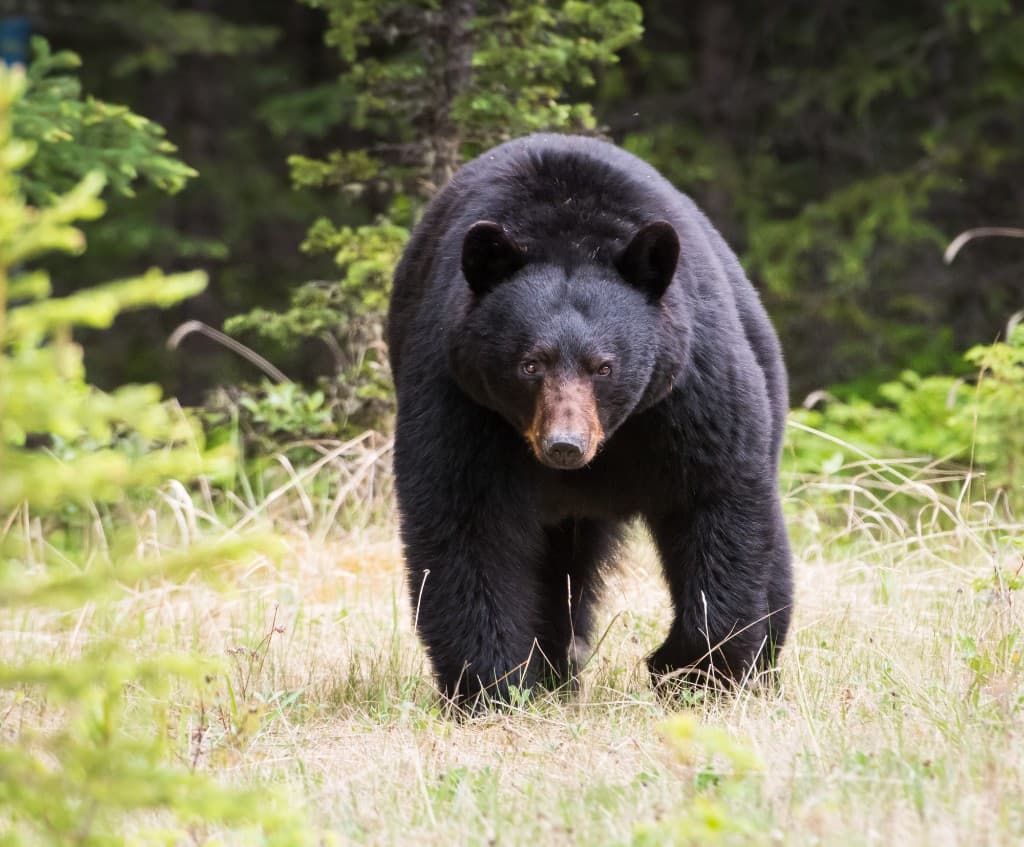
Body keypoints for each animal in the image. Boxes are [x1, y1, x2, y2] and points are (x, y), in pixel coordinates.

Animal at [387, 133, 792, 707]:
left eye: (605, 366)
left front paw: (690, 671)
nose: (565, 445)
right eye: (530, 364)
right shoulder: (461, 397)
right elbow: (465, 521)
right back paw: (557, 671)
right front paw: (492, 686)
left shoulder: (688, 392)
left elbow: (715, 501)